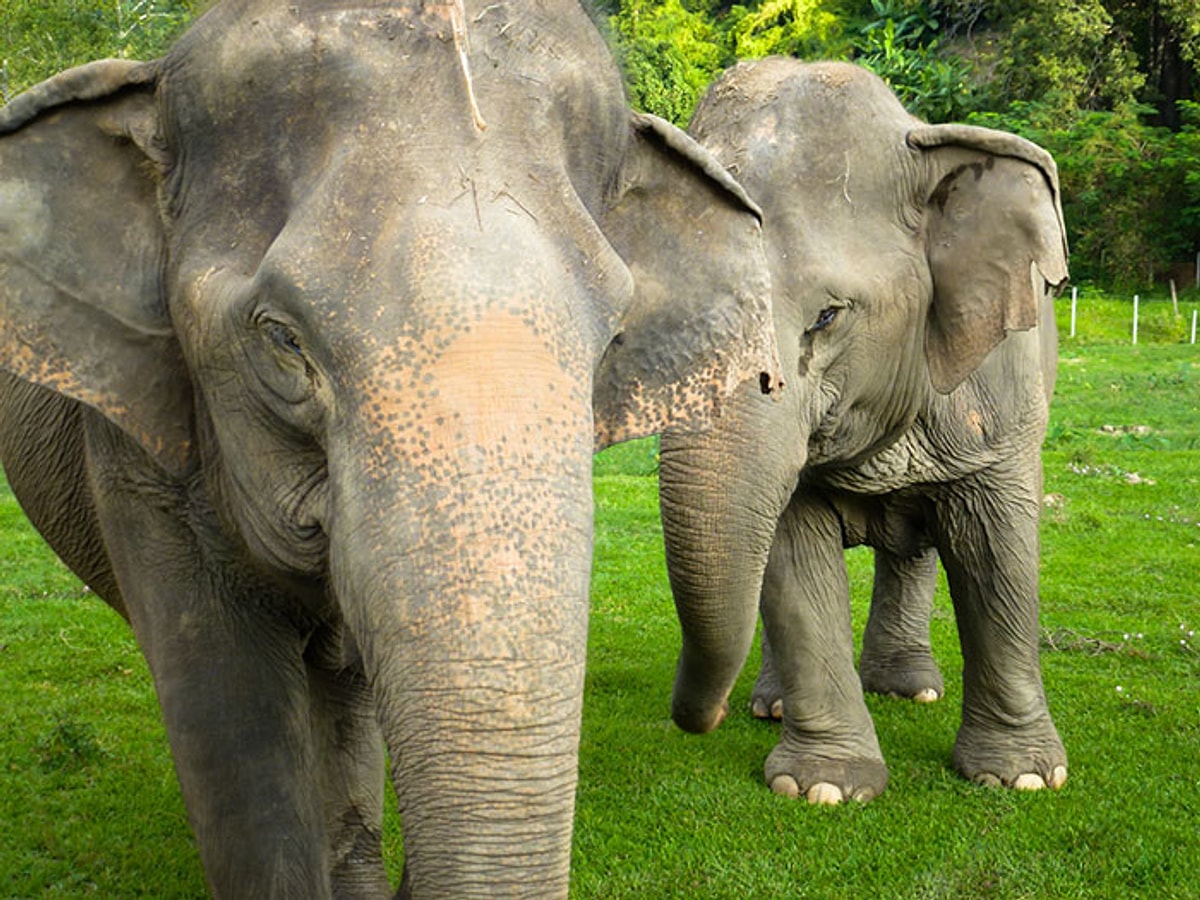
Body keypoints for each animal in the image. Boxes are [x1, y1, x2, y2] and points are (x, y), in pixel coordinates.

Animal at [662, 60, 1075, 806]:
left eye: (827, 317)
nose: (703, 719)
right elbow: (792, 560)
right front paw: (823, 789)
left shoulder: (1002, 394)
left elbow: (999, 550)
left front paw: (1025, 778)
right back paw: (775, 705)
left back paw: (907, 690)